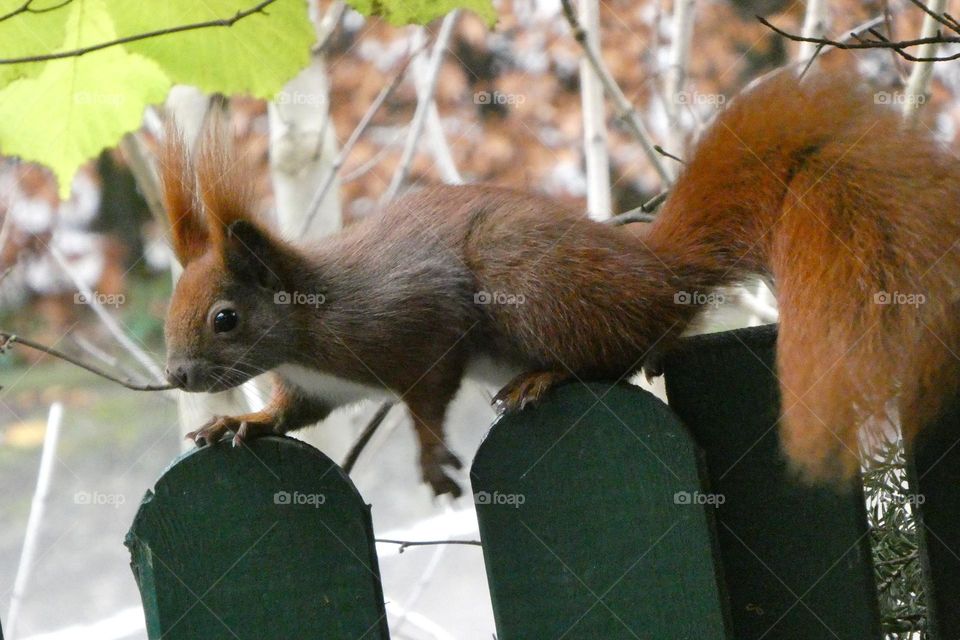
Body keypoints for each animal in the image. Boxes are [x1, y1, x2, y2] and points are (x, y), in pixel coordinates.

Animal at [161, 69, 960, 496]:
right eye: (173, 305)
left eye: (226, 318)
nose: (175, 376)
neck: (307, 325)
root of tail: (656, 272)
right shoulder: (319, 385)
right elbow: (292, 413)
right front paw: (242, 422)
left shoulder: (411, 320)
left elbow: (429, 390)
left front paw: (430, 456)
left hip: (529, 282)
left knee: (619, 354)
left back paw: (546, 377)